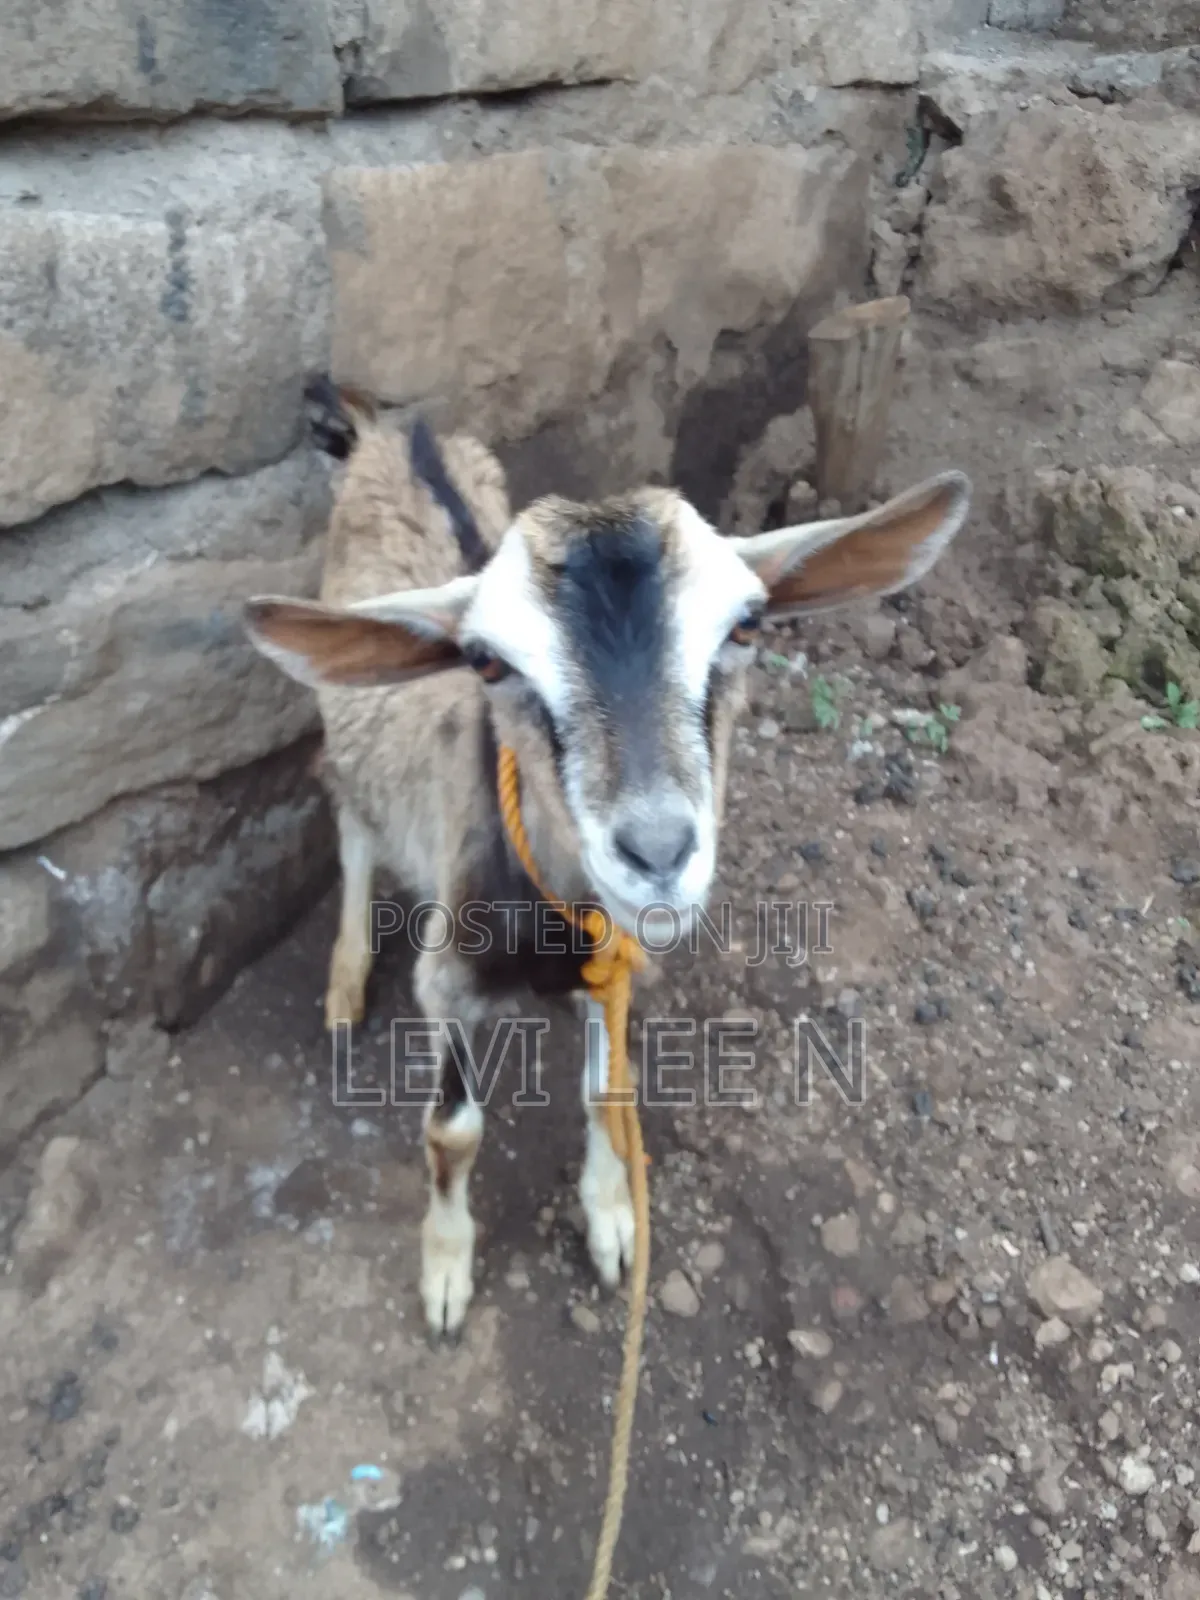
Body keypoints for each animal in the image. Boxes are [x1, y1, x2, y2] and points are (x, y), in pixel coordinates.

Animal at [244, 379, 971, 1340]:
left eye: (746, 626)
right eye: (484, 661)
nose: (657, 852)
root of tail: (398, 429)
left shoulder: (613, 968)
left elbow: (607, 1093)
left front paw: (614, 1221)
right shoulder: (450, 979)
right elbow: (452, 1133)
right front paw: (446, 1273)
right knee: (351, 810)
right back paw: (345, 981)